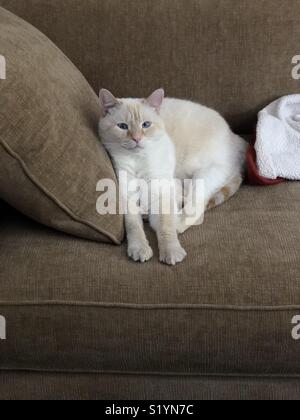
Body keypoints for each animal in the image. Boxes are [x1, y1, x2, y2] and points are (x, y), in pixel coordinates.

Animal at [98, 89, 246, 266]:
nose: (137, 138)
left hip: (202, 176)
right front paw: (140, 249)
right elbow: (134, 226)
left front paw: (171, 252)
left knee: (195, 210)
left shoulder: (161, 191)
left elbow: (166, 227)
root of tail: (235, 137)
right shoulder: (127, 194)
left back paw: (173, 222)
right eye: (122, 126)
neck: (138, 160)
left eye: (146, 125)